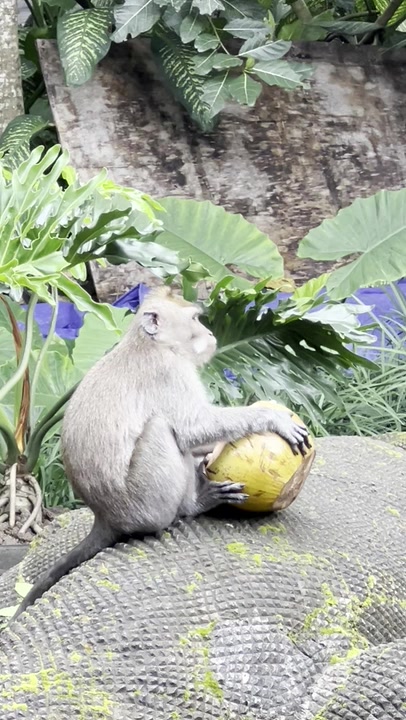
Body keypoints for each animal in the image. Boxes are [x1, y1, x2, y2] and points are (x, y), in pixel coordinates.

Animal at [13, 288, 310, 619]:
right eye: (194, 319)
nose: (209, 333)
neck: (150, 343)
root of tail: (105, 518)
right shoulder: (170, 372)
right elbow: (192, 429)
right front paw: (272, 418)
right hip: (146, 501)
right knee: (161, 428)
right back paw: (194, 504)